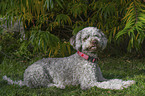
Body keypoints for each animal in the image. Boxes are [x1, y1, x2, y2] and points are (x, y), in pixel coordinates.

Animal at [2, 26, 135, 89]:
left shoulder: (100, 78)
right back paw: (59, 85)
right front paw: (120, 86)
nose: (94, 42)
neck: (89, 59)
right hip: (39, 72)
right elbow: (108, 84)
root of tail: (24, 79)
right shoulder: (89, 82)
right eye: (85, 37)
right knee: (43, 85)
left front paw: (127, 82)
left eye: (96, 35)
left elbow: (113, 80)